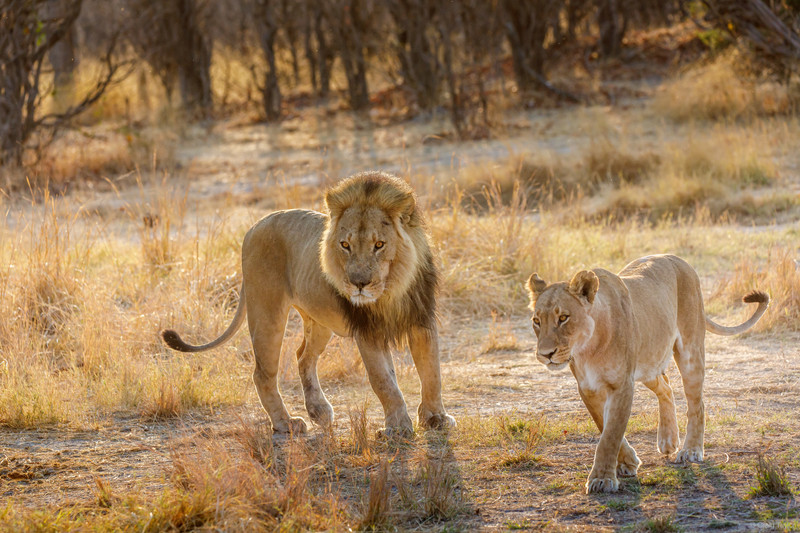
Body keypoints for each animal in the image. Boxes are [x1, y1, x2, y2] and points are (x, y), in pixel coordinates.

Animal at [161, 171, 455, 436]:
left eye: (379, 244)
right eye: (345, 245)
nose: (358, 284)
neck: (391, 290)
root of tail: (254, 226)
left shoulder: (421, 320)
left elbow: (432, 373)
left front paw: (435, 418)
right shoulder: (367, 330)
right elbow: (384, 381)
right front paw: (398, 427)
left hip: (318, 322)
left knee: (302, 356)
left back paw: (319, 410)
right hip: (267, 313)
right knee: (263, 373)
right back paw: (286, 423)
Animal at [526, 254, 769, 494]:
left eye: (563, 318)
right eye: (536, 321)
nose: (545, 354)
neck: (588, 350)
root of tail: (679, 259)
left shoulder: (622, 385)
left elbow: (610, 434)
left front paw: (602, 479)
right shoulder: (588, 388)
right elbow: (604, 426)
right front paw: (628, 462)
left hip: (689, 351)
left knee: (696, 404)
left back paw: (691, 450)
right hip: (649, 362)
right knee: (666, 387)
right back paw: (668, 440)